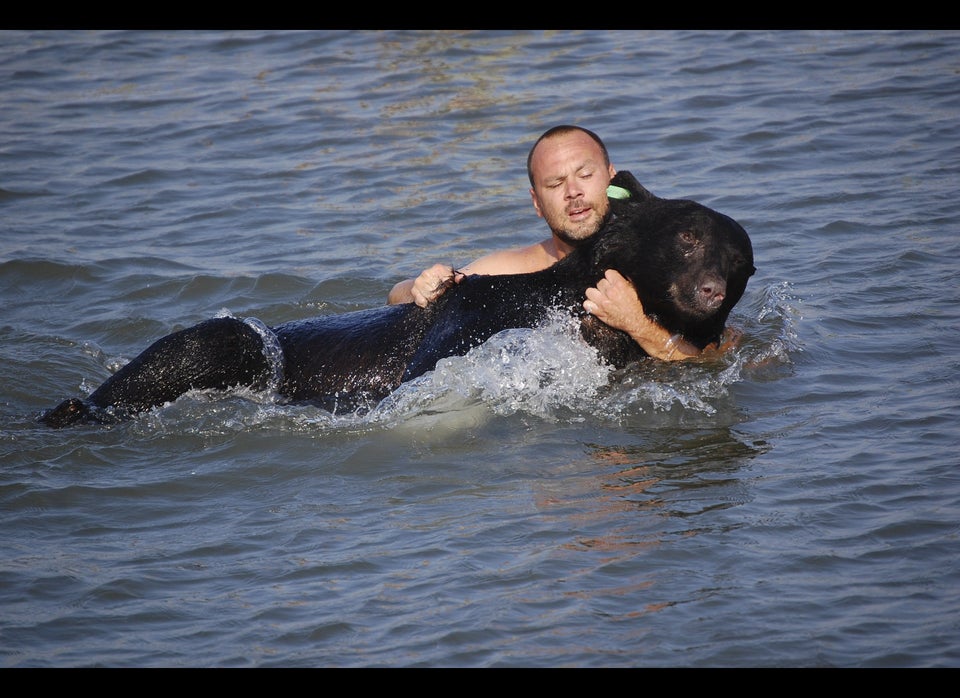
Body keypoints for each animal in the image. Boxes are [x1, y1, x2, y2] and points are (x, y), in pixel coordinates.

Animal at [39, 171, 756, 426]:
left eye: (740, 263)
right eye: (688, 238)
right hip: (248, 347)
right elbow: (434, 347)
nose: (710, 288)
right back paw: (73, 410)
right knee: (218, 339)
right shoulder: (480, 306)